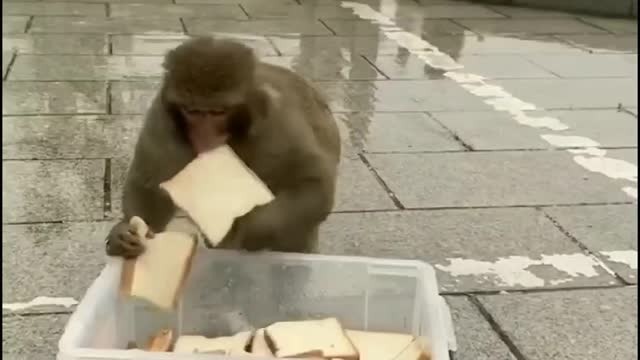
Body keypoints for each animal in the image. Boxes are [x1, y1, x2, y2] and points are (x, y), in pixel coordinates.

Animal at [105, 37, 342, 258]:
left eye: (218, 112)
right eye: (191, 111)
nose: (203, 134)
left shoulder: (277, 122)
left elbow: (314, 184)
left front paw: (247, 231)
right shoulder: (162, 118)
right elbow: (148, 186)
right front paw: (124, 233)